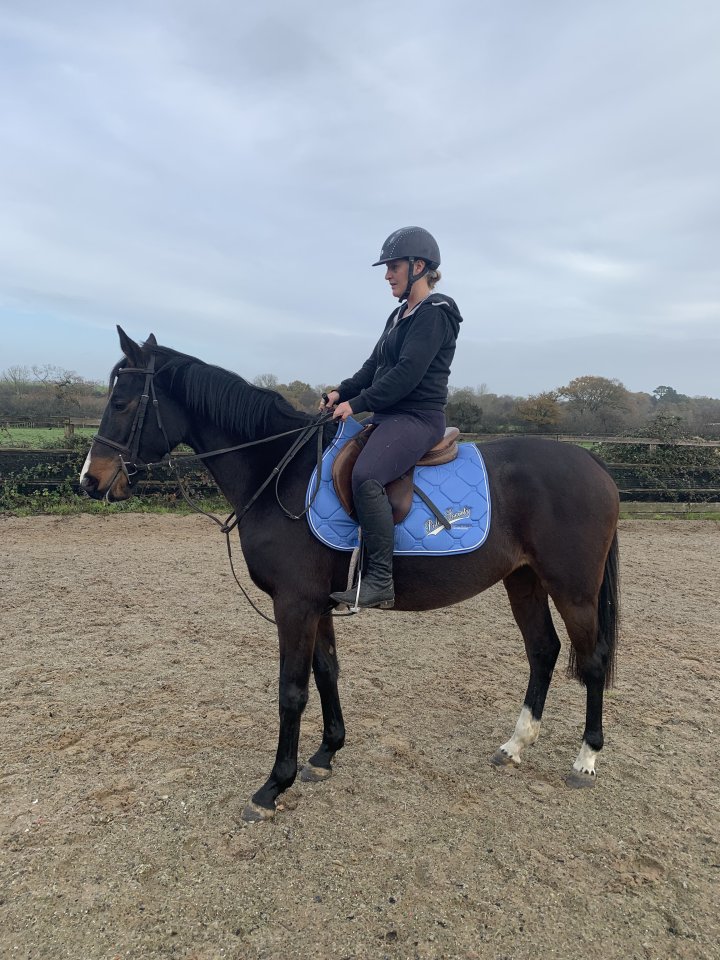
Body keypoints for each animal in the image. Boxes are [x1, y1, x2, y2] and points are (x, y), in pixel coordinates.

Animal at [80, 328, 620, 822]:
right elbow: (327, 672)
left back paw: (586, 758)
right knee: (543, 650)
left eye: (123, 402)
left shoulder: (294, 604)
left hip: (572, 589)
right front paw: (326, 753)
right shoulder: (318, 604)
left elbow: (292, 691)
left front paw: (273, 786)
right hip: (523, 580)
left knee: (592, 660)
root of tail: (591, 460)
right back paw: (516, 744)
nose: (90, 479)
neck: (281, 472)